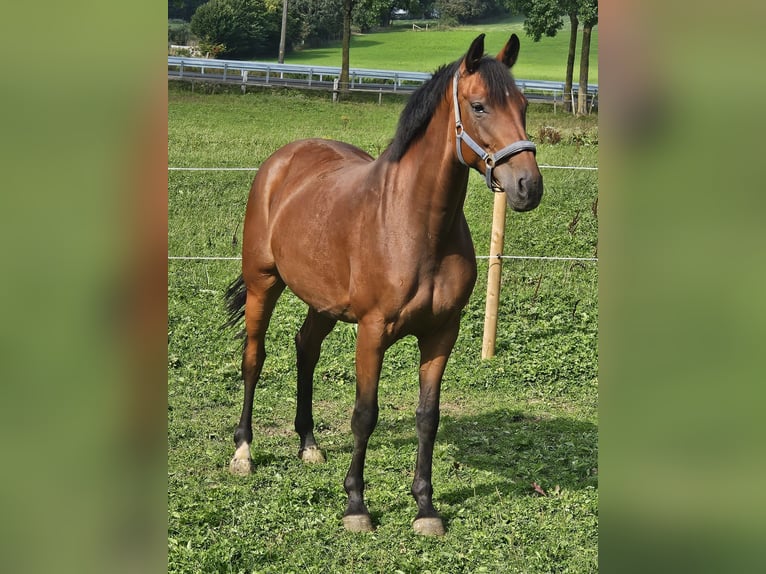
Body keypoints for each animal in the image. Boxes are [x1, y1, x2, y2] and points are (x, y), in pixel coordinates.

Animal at [226, 33, 544, 536]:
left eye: (524, 105)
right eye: (479, 107)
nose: (528, 187)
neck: (414, 225)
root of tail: (281, 161)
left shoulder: (441, 333)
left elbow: (428, 417)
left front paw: (426, 508)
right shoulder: (372, 332)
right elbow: (365, 414)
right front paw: (356, 504)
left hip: (323, 303)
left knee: (305, 349)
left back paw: (309, 444)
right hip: (263, 285)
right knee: (253, 359)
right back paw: (243, 452)